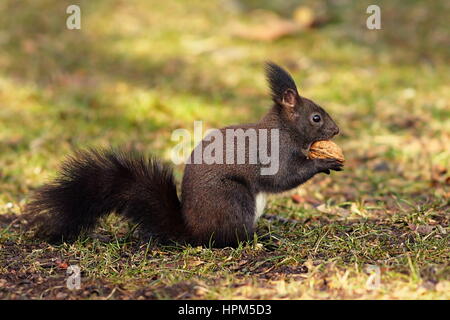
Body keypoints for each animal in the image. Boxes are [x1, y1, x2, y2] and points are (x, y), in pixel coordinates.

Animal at [25, 62, 342, 248]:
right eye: (316, 118)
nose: (337, 130)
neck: (284, 128)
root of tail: (190, 231)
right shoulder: (273, 152)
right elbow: (283, 177)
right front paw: (323, 162)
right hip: (231, 199)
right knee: (226, 239)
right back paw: (256, 240)